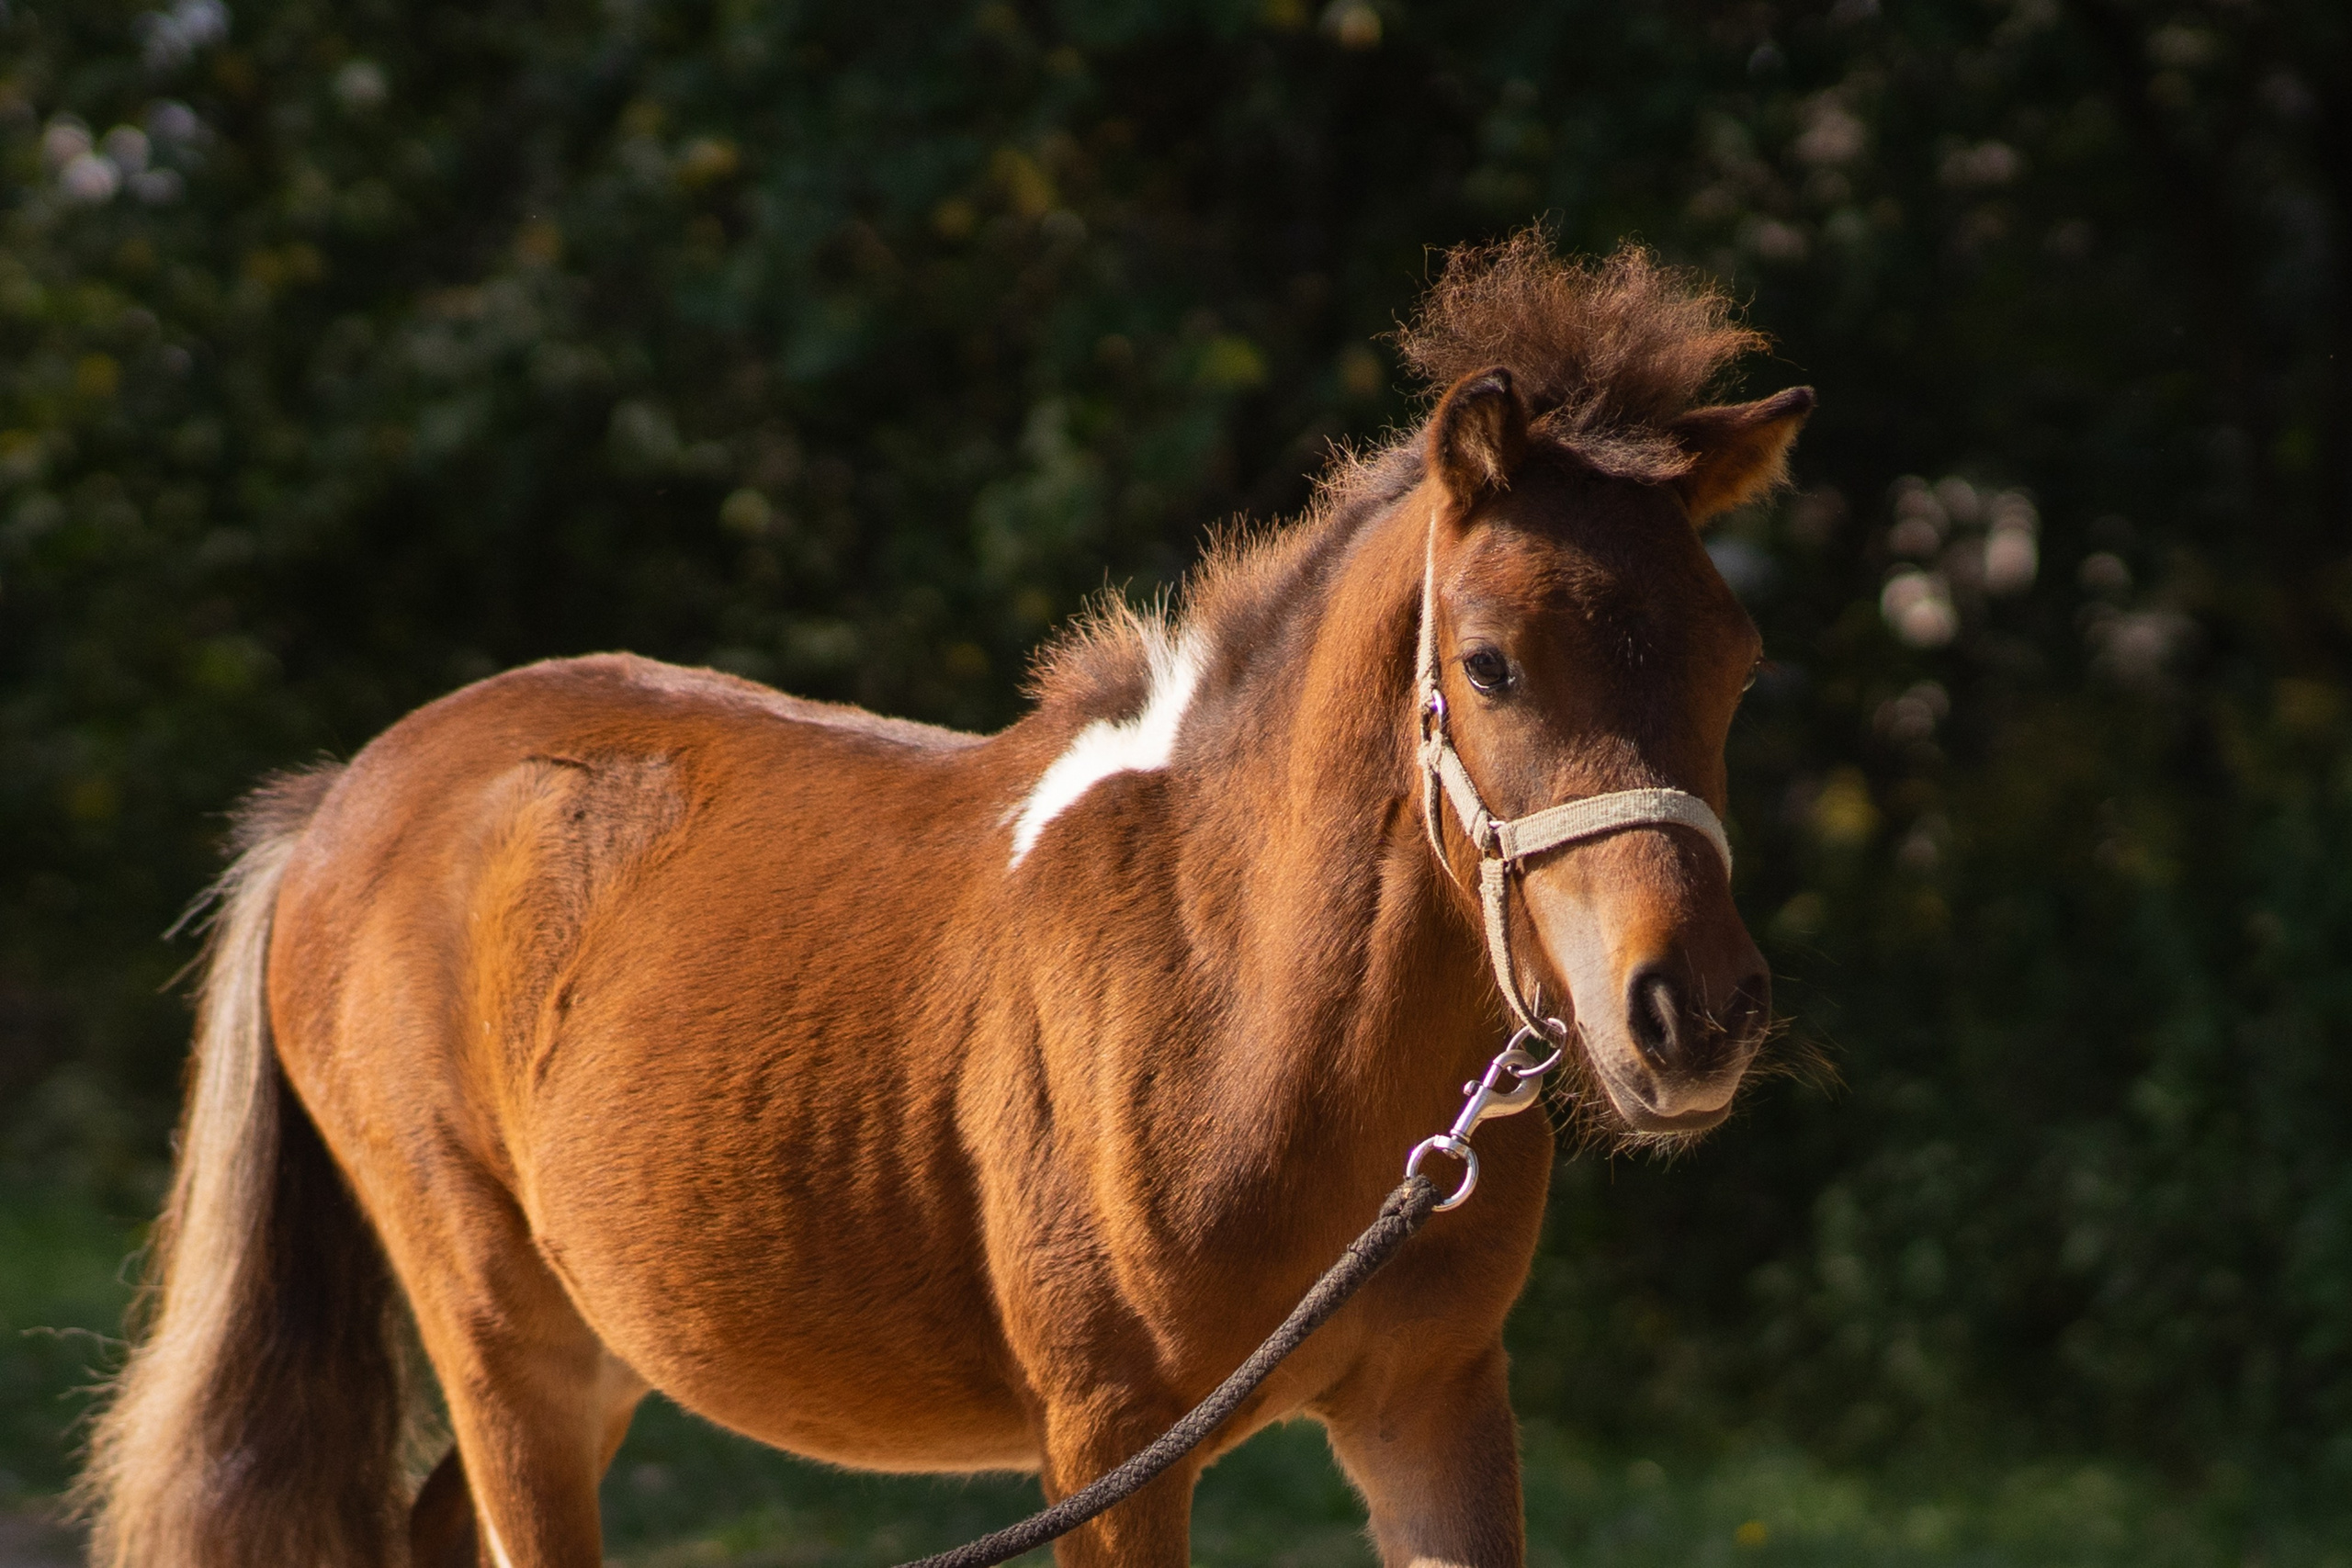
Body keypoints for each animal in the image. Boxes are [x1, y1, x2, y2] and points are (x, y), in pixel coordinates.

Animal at [79, 234, 1812, 1568]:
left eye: (1740, 665)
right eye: (1492, 663)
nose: (1694, 1012)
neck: (1242, 1000)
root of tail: (336, 805)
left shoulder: (1435, 1403)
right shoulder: (1109, 1442)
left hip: (600, 1341)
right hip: (498, 1331)